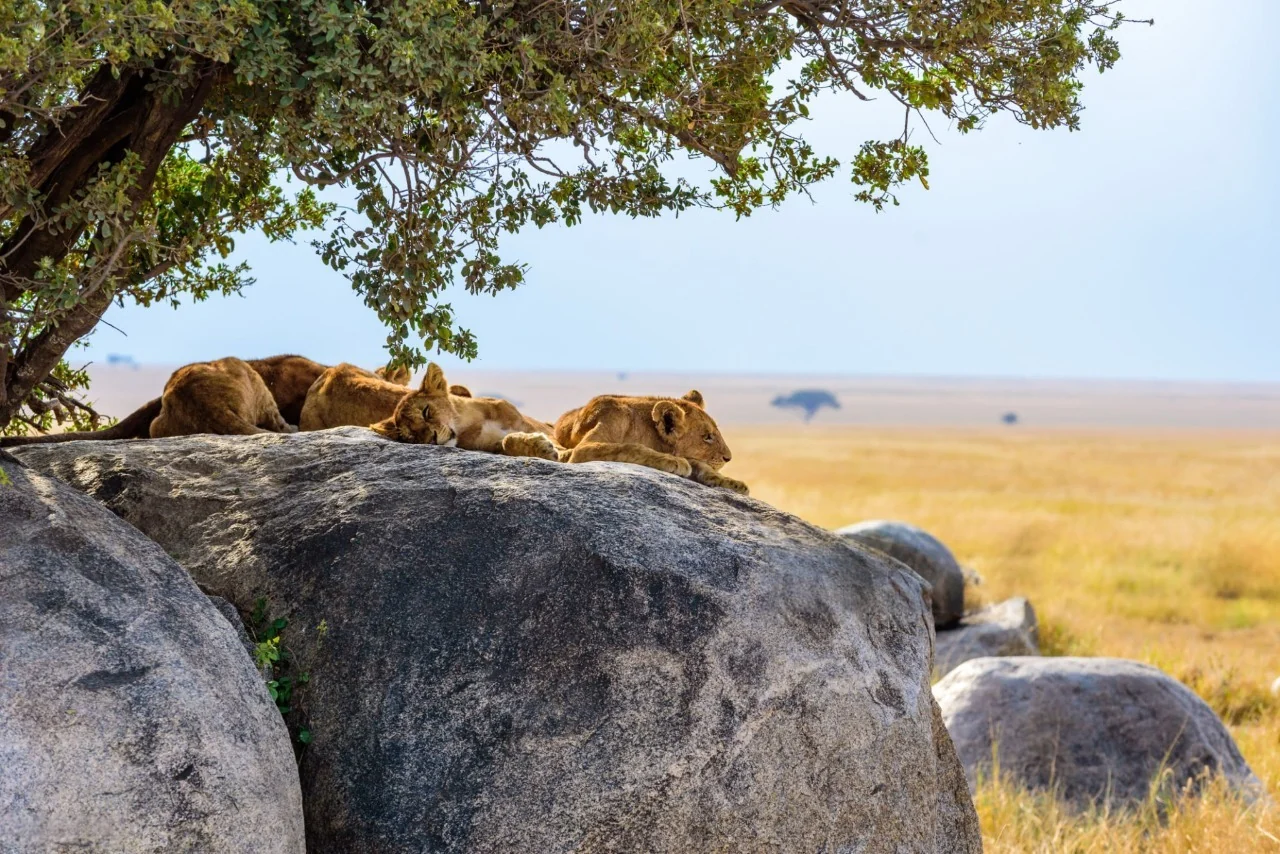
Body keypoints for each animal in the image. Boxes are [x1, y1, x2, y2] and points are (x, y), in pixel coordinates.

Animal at [500, 390, 749, 494]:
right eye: (707, 437)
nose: (729, 457)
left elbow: (703, 468)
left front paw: (734, 483)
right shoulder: (584, 450)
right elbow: (630, 447)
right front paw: (673, 461)